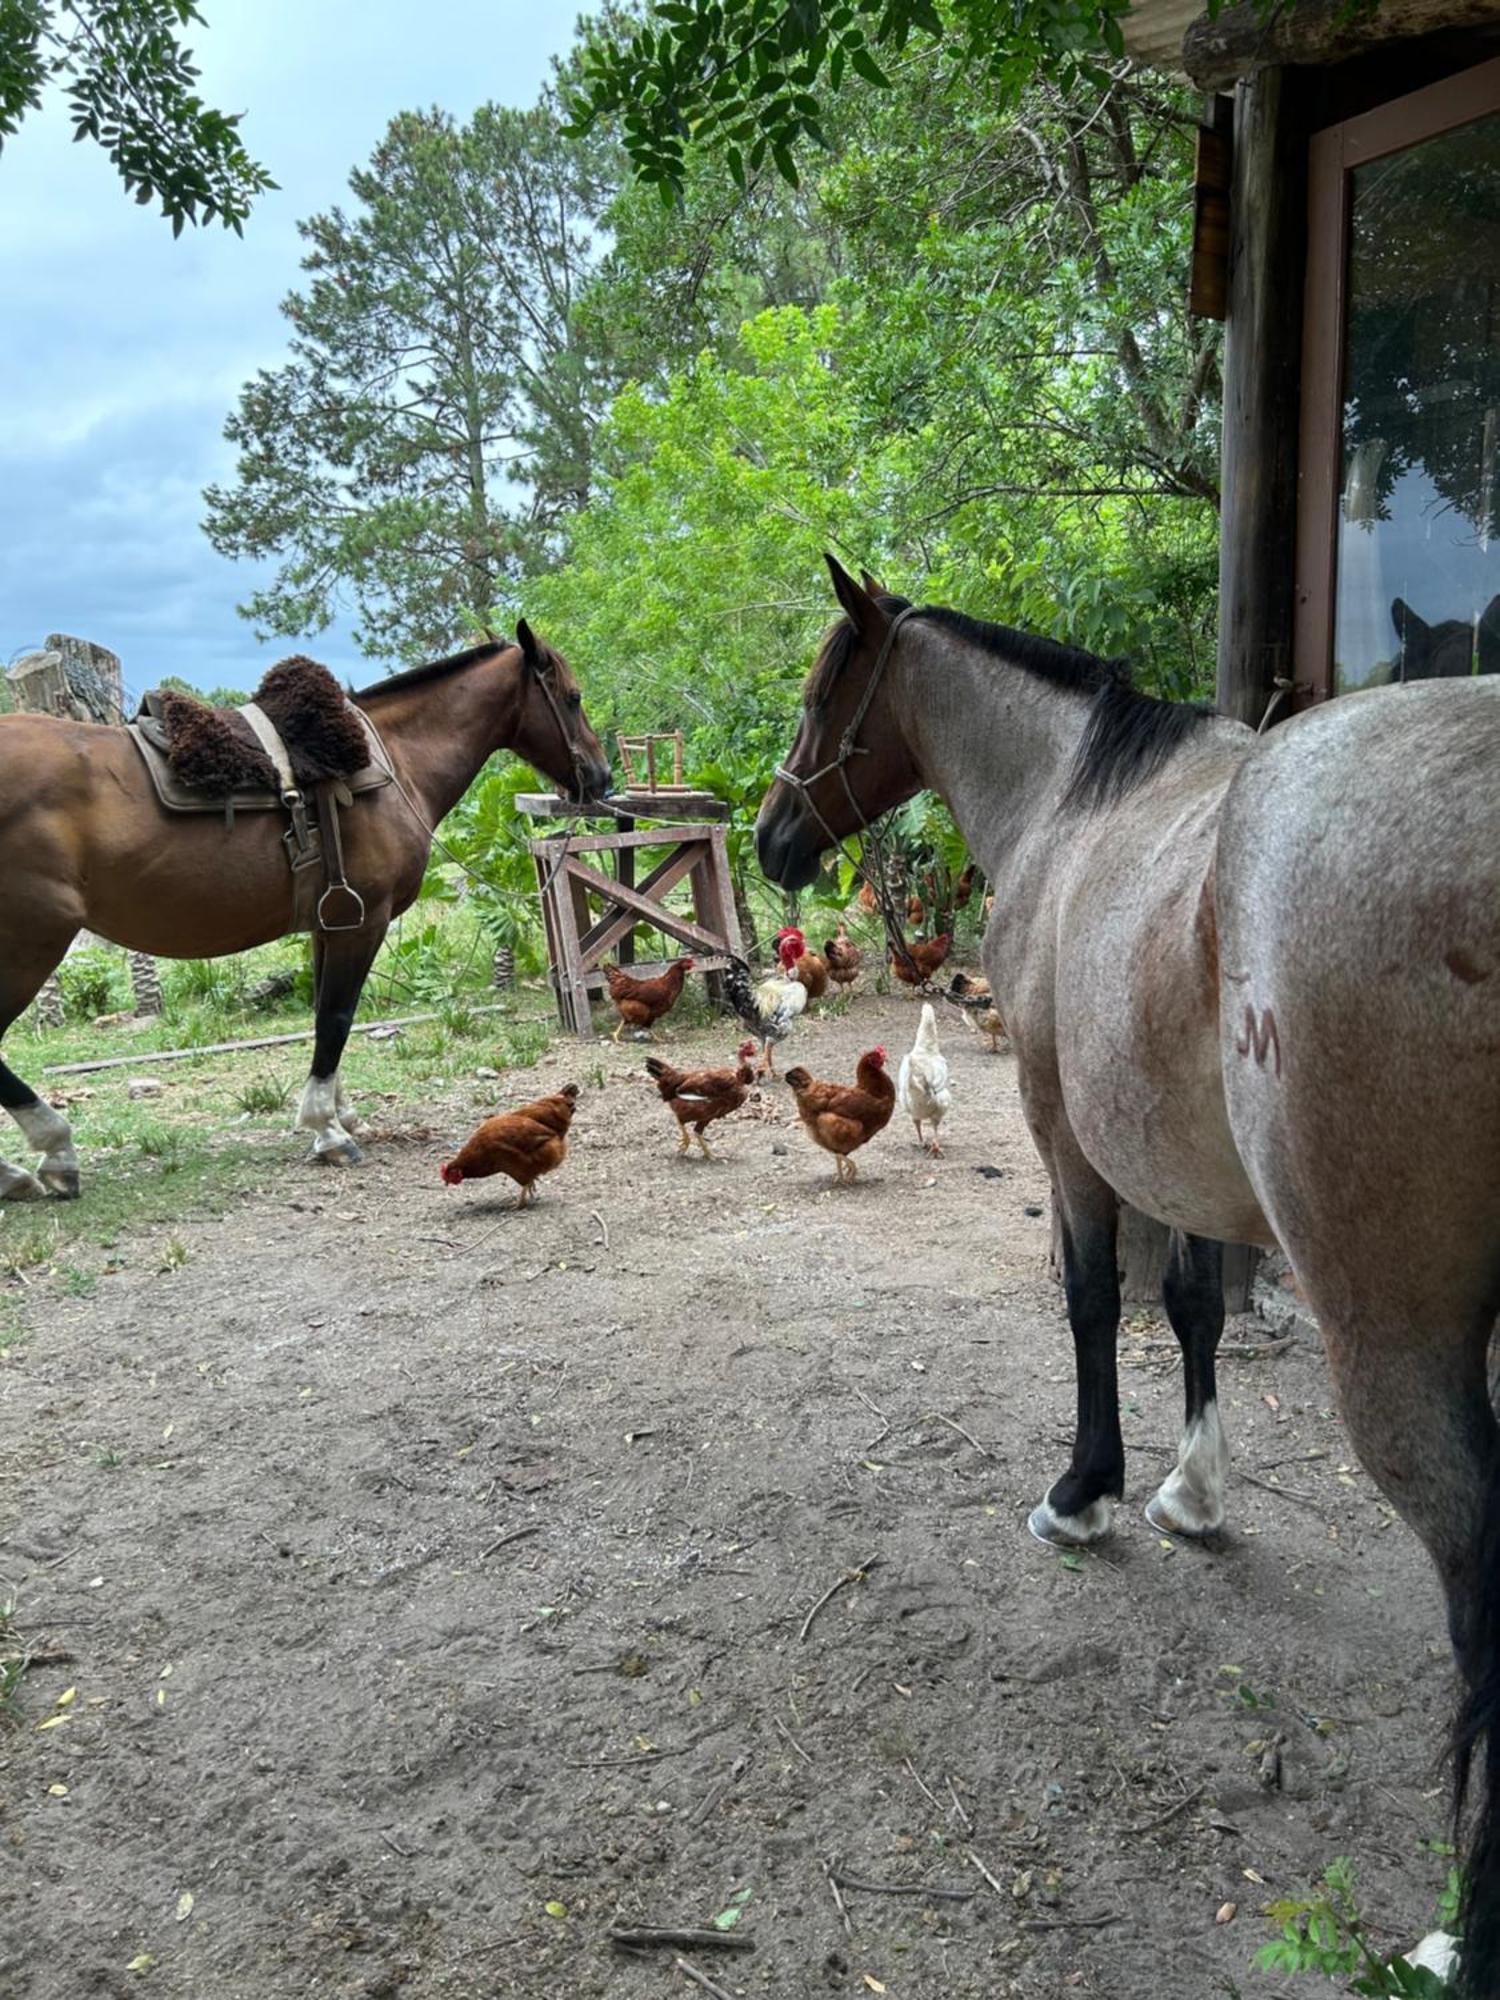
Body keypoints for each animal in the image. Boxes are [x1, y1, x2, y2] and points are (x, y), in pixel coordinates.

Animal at [1, 616, 612, 1192]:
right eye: (573, 697)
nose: (601, 778)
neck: (394, 762)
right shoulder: (363, 921)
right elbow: (337, 1018)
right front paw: (326, 1129)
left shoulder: (329, 923)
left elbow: (325, 1012)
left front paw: (341, 1113)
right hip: (33, 943)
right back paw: (52, 1149)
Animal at [764, 556, 1500, 1992]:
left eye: (828, 688)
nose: (772, 837)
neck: (1076, 802)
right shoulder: (1188, 1172)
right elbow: (1196, 1308)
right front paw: (1192, 1493)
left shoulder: (1069, 1138)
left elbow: (1097, 1305)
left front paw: (1084, 1491)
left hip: (1397, 1344)